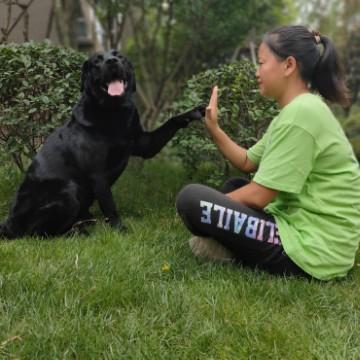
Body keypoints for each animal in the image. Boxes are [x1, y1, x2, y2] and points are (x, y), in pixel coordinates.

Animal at [0, 49, 204, 238]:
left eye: (119, 56)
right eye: (97, 61)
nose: (111, 61)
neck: (113, 112)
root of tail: (8, 224)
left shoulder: (144, 144)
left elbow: (171, 121)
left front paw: (194, 112)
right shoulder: (98, 175)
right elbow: (110, 206)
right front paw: (121, 230)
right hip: (68, 192)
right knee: (38, 233)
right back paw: (77, 233)